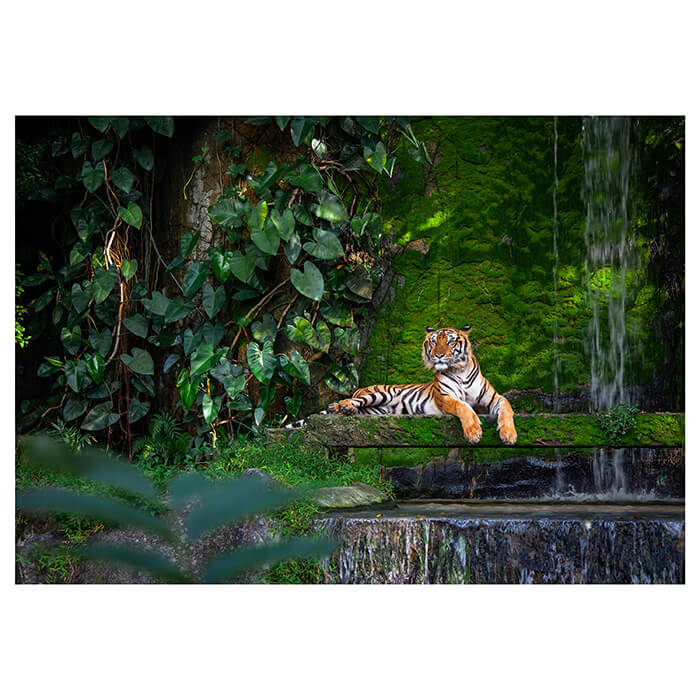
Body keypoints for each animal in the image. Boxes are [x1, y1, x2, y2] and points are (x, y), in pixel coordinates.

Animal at [326, 325, 517, 445]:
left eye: (450, 341)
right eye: (433, 341)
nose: (438, 355)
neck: (459, 371)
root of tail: (359, 388)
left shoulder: (494, 398)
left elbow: (507, 408)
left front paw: (509, 435)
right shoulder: (445, 397)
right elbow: (463, 406)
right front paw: (473, 432)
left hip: (376, 410)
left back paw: (346, 410)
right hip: (379, 394)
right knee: (350, 400)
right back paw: (340, 406)